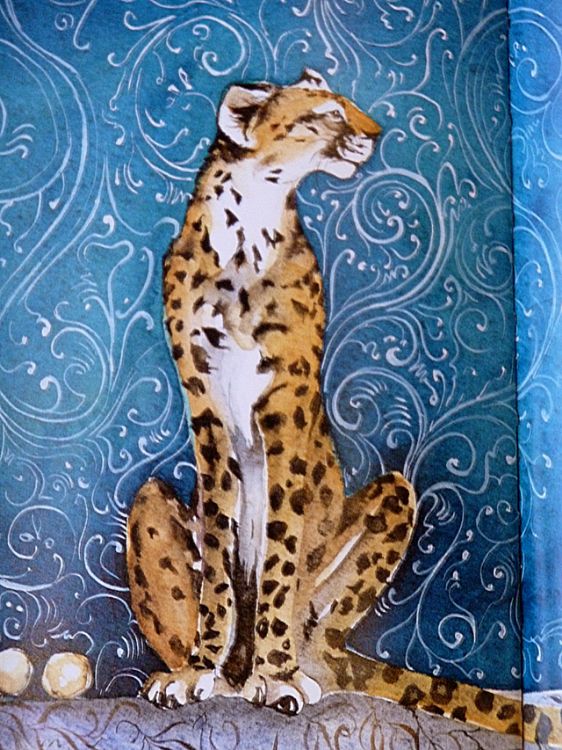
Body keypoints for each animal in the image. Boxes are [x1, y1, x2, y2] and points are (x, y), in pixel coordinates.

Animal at [126, 68, 558, 745]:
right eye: (326, 113)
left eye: (347, 104)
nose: (375, 133)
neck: (245, 232)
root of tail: (332, 653)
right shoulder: (207, 411)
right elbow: (220, 552)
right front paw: (198, 668)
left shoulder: (286, 408)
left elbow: (280, 550)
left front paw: (276, 676)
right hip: (147, 496)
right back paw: (223, 673)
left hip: (393, 500)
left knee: (317, 630)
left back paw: (293, 669)